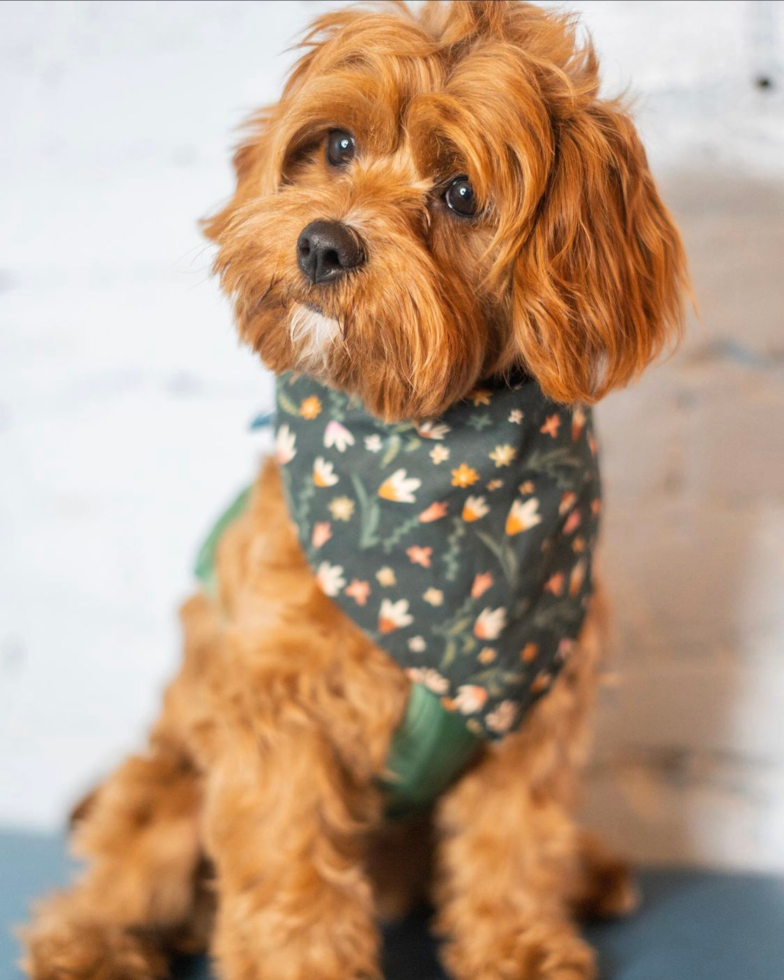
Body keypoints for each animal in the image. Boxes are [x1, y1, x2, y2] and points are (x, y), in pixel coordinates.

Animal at [21, 1, 688, 980]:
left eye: (460, 193)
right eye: (336, 144)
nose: (324, 242)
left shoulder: (533, 709)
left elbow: (513, 843)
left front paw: (521, 945)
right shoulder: (275, 710)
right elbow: (290, 865)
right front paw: (298, 964)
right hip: (166, 785)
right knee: (114, 878)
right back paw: (96, 942)